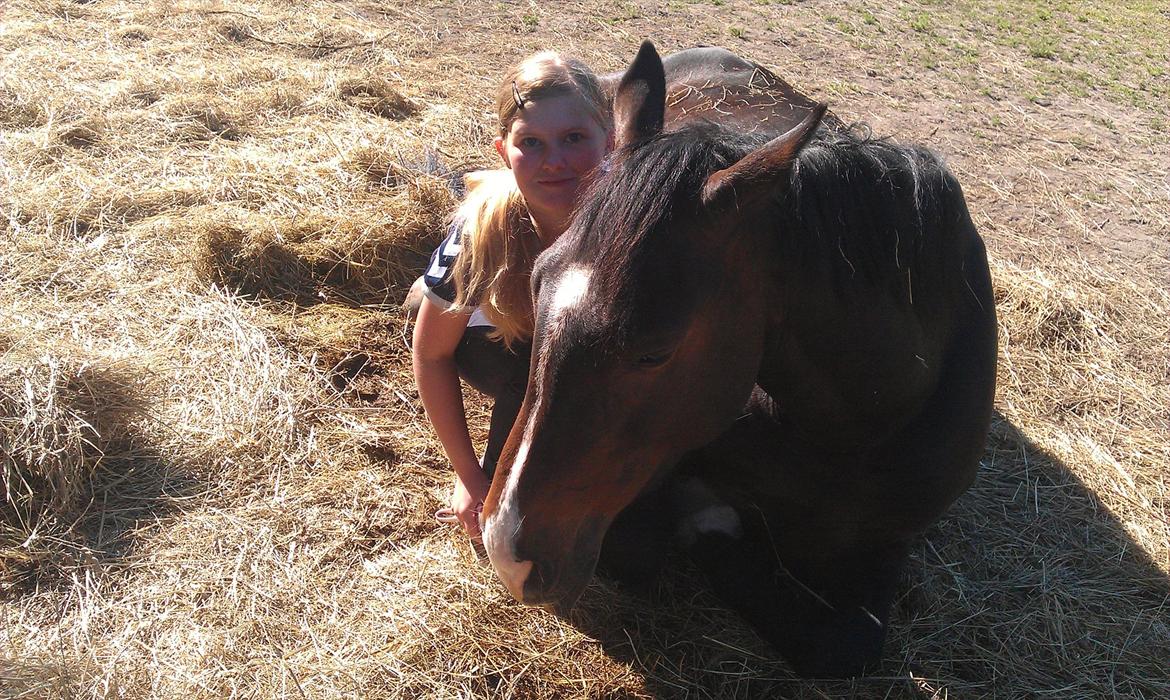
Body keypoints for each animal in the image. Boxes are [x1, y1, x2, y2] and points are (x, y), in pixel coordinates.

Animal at [477, 43, 996, 678]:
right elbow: (645, 547)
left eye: (654, 350)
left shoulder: (886, 543)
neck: (864, 419)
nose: (508, 553)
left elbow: (846, 644)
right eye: (537, 281)